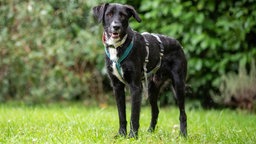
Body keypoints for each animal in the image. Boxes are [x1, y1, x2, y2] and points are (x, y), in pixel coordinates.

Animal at [93, 3, 187, 138]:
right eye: (109, 14)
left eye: (123, 15)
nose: (116, 26)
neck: (118, 46)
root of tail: (178, 43)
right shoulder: (117, 86)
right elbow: (121, 115)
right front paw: (121, 134)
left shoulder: (136, 87)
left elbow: (134, 115)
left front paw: (132, 136)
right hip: (152, 88)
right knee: (156, 111)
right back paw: (150, 132)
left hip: (179, 84)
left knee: (182, 113)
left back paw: (183, 134)